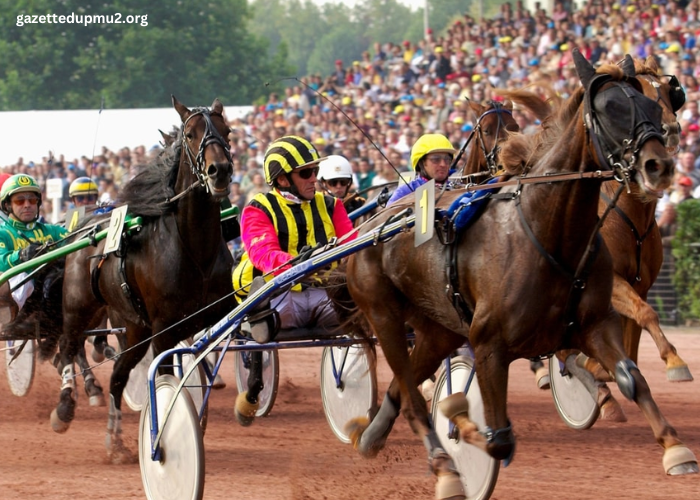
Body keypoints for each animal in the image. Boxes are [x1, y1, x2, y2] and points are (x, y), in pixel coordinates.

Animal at [54, 96, 235, 460]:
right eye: (191, 134)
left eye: (227, 131)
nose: (219, 170)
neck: (195, 251)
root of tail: (82, 226)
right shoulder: (164, 327)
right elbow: (164, 376)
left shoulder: (210, 315)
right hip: (79, 307)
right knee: (69, 346)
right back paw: (66, 405)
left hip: (135, 327)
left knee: (118, 376)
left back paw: (116, 440)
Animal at [338, 51, 696, 500]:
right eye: (610, 108)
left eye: (664, 97)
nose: (659, 163)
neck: (548, 230)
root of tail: (372, 224)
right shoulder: (489, 344)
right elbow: (499, 439)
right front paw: (460, 419)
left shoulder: (597, 320)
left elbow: (633, 376)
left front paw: (674, 446)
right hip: (384, 315)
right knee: (411, 393)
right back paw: (443, 464)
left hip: (439, 328)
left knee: (401, 386)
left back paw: (369, 434)